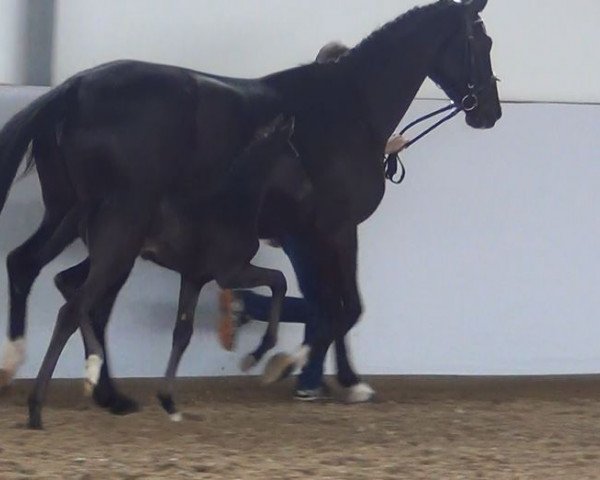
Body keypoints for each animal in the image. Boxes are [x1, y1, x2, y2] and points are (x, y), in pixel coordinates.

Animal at [0, 0, 500, 428]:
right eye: (483, 42)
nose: (490, 113)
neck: (350, 106)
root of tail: (75, 89)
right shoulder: (337, 230)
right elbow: (345, 307)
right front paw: (295, 367)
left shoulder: (310, 236)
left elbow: (330, 305)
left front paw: (335, 378)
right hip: (113, 233)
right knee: (89, 300)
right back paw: (100, 390)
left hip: (69, 216)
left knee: (30, 267)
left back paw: (45, 373)